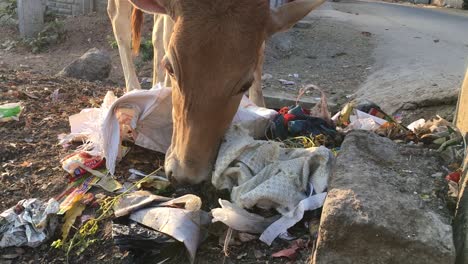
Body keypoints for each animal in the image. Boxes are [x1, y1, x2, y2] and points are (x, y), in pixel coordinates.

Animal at [108, 0, 326, 186]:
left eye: (244, 85)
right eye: (171, 68)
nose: (186, 176)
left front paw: (260, 107)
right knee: (120, 21)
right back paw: (135, 86)